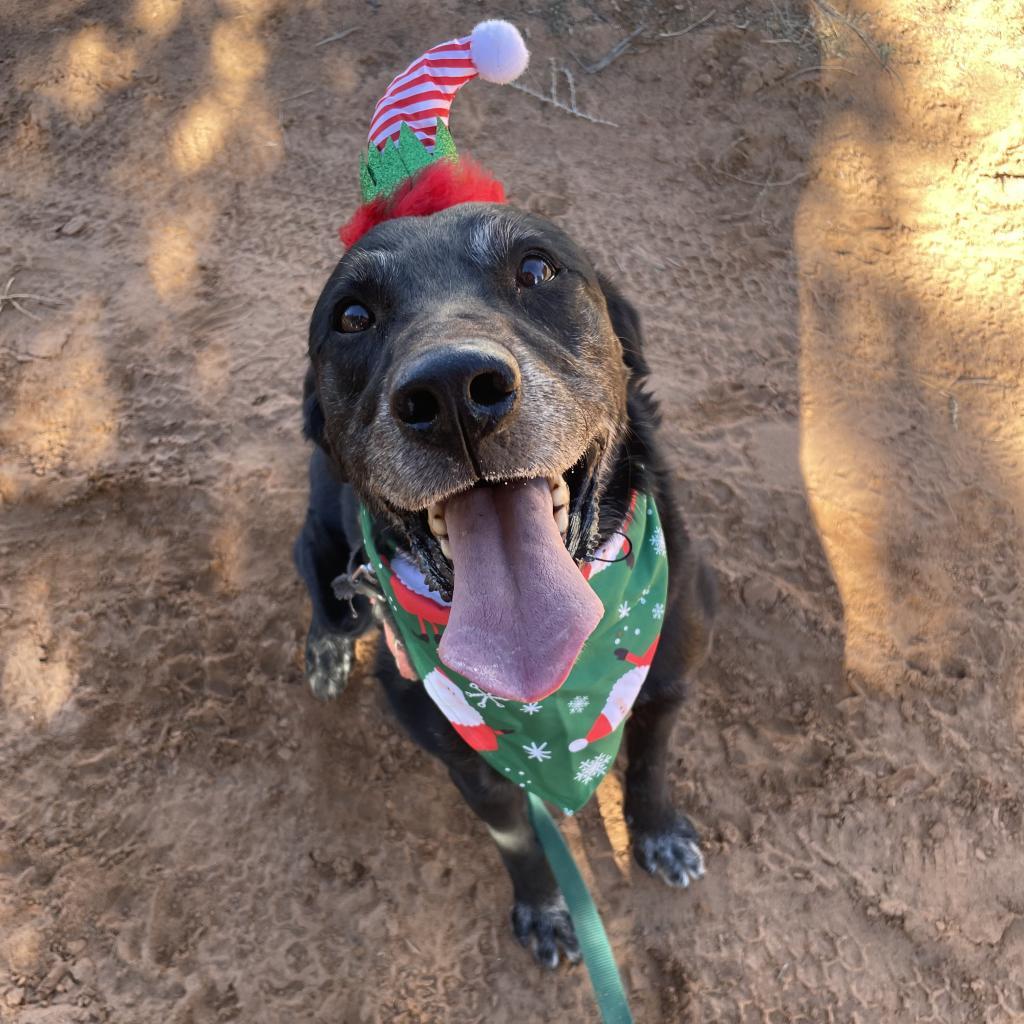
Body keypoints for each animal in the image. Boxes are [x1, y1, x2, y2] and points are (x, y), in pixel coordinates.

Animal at [292, 199, 716, 966]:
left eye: (537, 269)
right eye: (352, 316)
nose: (452, 391)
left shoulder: (667, 683)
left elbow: (649, 767)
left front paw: (660, 834)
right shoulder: (473, 767)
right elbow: (519, 844)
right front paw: (546, 911)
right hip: (321, 544)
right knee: (329, 594)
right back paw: (328, 650)